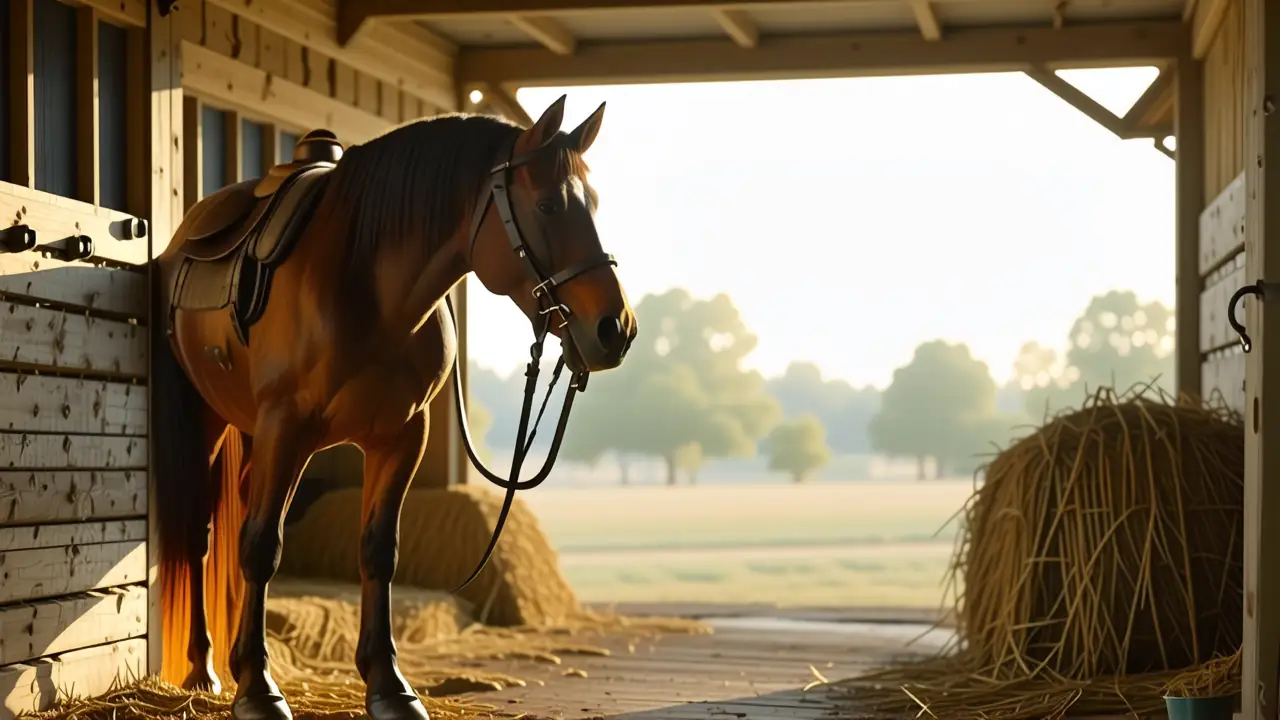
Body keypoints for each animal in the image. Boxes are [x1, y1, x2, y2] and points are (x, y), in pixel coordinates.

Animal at [151, 95, 637, 720]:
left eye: (594, 204)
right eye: (549, 204)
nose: (615, 328)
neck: (366, 282)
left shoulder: (400, 437)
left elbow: (378, 551)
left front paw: (388, 685)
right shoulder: (287, 428)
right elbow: (261, 547)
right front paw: (258, 689)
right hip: (207, 422)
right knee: (203, 537)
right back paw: (204, 668)